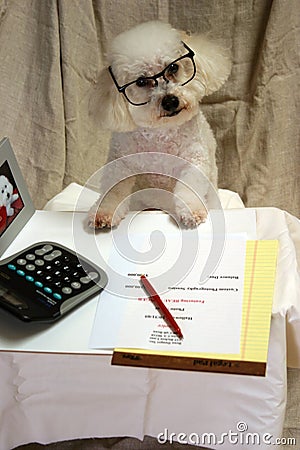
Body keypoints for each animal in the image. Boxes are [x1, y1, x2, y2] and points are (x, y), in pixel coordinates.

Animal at [88, 20, 231, 229]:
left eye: (173, 67)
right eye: (141, 81)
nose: (170, 101)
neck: (161, 134)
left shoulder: (194, 160)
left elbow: (189, 186)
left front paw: (191, 211)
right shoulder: (120, 162)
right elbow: (113, 189)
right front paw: (103, 212)